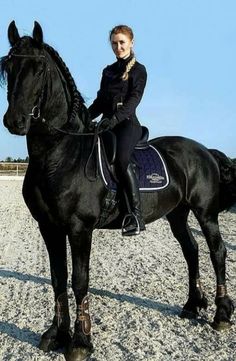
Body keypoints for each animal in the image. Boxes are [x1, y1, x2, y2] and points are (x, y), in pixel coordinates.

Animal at [1, 20, 236, 360]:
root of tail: (204, 150)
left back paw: (221, 314)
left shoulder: (79, 228)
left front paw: (80, 342)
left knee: (216, 252)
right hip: (177, 214)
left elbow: (79, 281)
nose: (14, 121)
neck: (61, 154)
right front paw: (55, 335)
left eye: (39, 68)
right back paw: (192, 306)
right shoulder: (49, 227)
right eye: (8, 67)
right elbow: (57, 278)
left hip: (205, 212)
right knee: (191, 250)